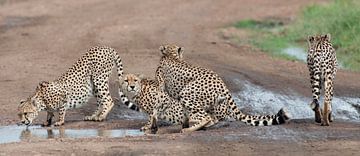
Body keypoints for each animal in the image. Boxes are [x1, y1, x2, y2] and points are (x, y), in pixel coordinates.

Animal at [156, 44, 292, 133]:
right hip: (212, 102)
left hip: (187, 94)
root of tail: (222, 83)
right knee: (212, 118)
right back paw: (199, 127)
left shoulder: (162, 85)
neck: (172, 55)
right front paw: (184, 124)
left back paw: (189, 130)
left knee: (207, 117)